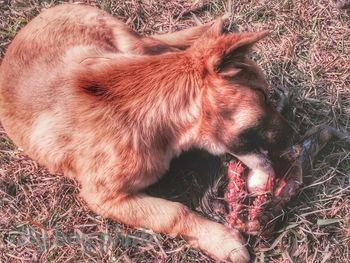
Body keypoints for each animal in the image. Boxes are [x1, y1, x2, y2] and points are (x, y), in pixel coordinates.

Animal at [0, 3, 296, 262]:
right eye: (263, 96)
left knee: (163, 45)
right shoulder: (104, 198)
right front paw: (221, 240)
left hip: (131, 45)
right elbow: (175, 212)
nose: (295, 137)